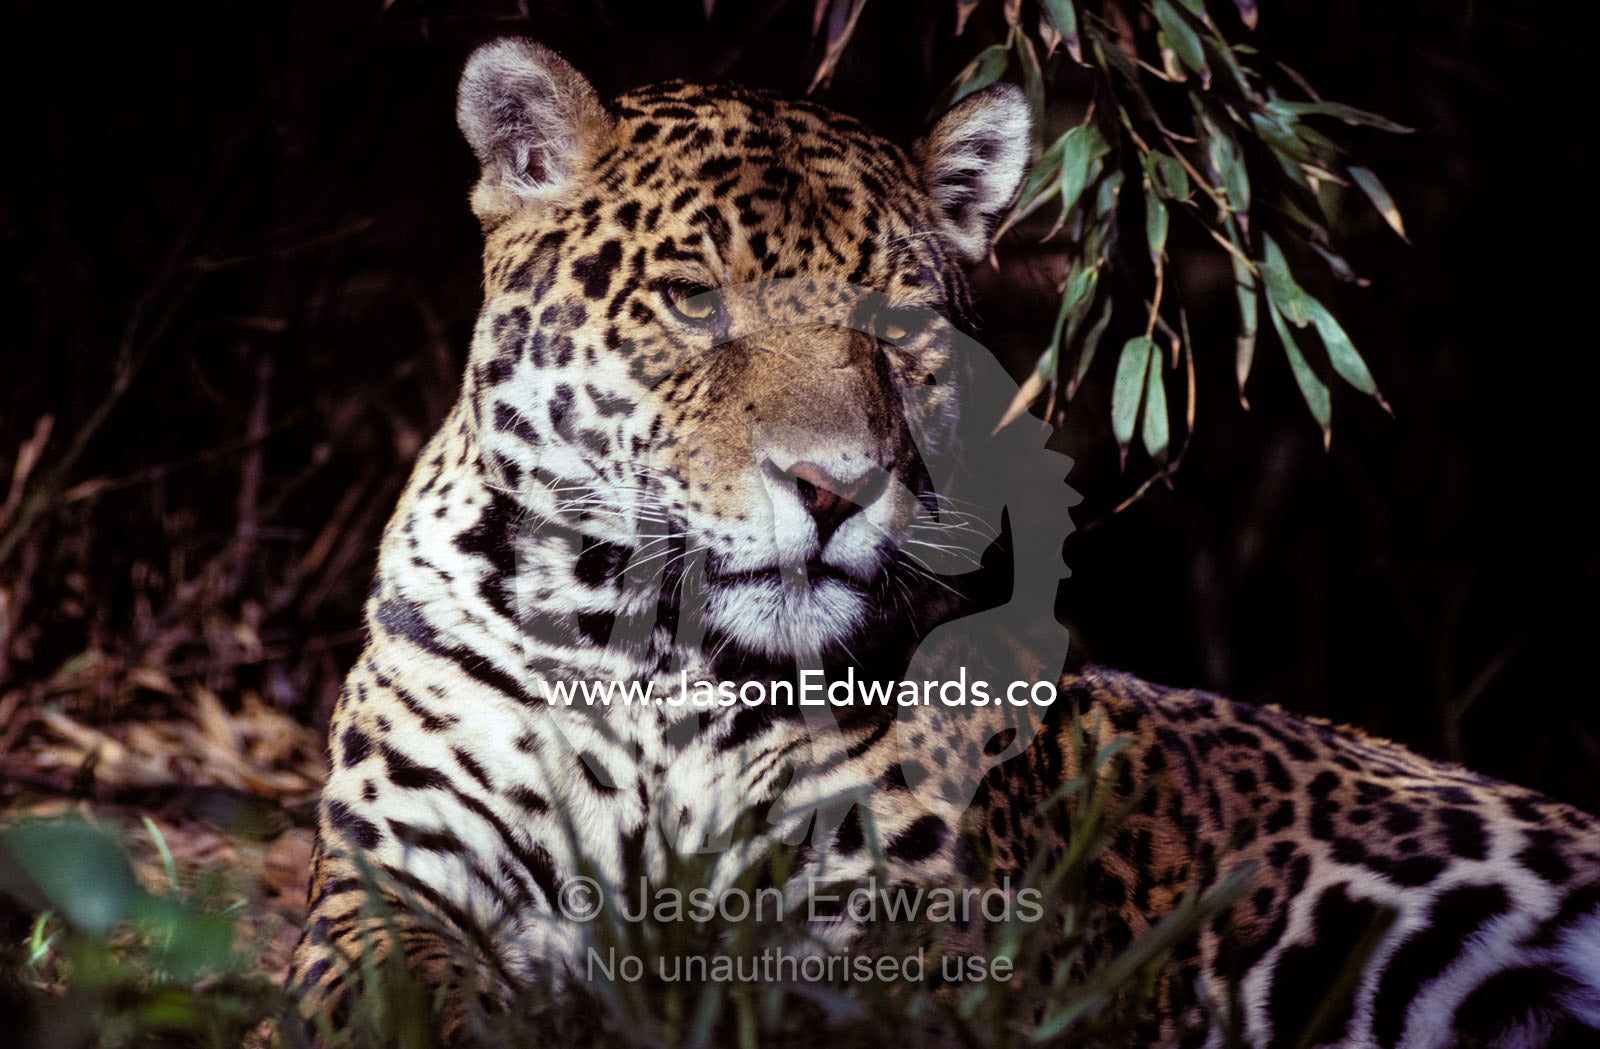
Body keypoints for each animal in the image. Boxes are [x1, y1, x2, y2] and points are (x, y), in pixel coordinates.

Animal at [287, 36, 1600, 1048]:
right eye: (694, 301)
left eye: (900, 322)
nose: (836, 486)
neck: (655, 654)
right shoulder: (389, 887)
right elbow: (400, 997)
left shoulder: (900, 942)